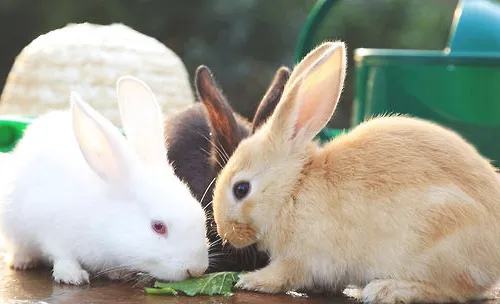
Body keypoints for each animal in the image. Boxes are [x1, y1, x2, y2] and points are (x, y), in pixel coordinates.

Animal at [0, 76, 209, 284]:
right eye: (158, 227)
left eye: (202, 214)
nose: (196, 269)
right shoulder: (50, 228)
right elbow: (62, 255)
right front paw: (72, 276)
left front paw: (120, 274)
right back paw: (23, 261)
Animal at [212, 41, 500, 304]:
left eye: (241, 189)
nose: (225, 233)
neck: (293, 187)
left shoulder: (302, 256)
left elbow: (284, 274)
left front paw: (250, 280)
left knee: (455, 291)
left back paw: (387, 290)